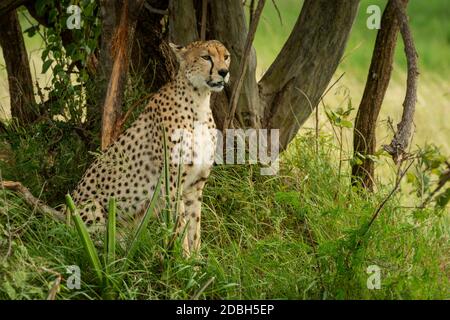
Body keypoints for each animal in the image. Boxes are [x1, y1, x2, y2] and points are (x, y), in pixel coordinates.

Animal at [71, 40, 230, 255]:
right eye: (206, 57)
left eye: (226, 56)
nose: (223, 72)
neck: (199, 101)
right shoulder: (172, 186)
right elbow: (180, 227)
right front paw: (184, 260)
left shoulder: (194, 187)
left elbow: (194, 227)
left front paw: (197, 261)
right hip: (91, 209)